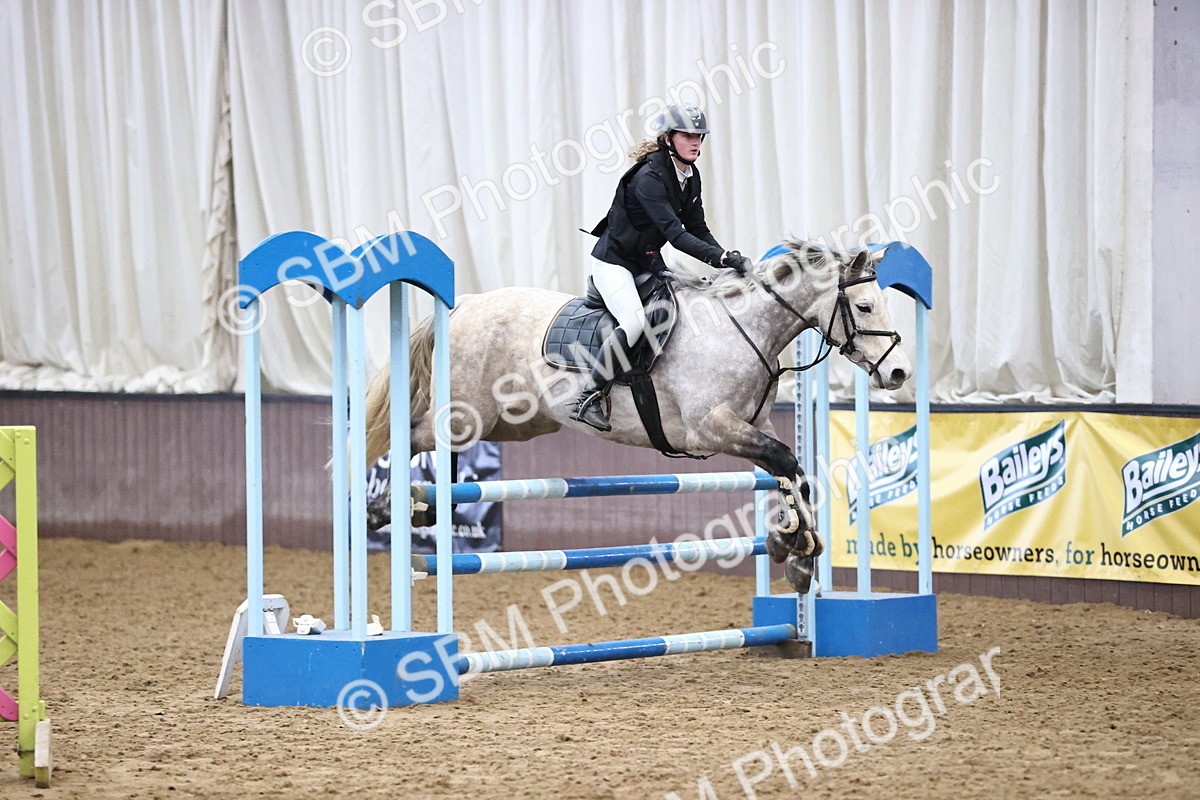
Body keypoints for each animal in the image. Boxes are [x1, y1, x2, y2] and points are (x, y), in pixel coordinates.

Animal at [363, 239, 912, 592]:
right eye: (864, 307)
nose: (900, 372)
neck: (743, 328)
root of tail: (464, 305)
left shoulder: (751, 425)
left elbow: (790, 470)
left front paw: (790, 549)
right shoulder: (710, 428)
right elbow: (786, 463)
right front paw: (797, 547)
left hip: (516, 422)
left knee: (440, 444)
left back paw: (419, 507)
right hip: (470, 411)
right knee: (414, 434)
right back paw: (386, 507)